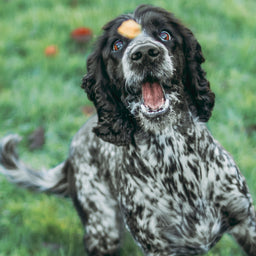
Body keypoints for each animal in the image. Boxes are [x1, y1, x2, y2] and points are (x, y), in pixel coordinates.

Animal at [0, 4, 256, 256]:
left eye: (165, 34)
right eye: (117, 45)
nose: (145, 53)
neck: (173, 154)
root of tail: (70, 157)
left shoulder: (245, 220)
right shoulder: (157, 245)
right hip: (103, 229)